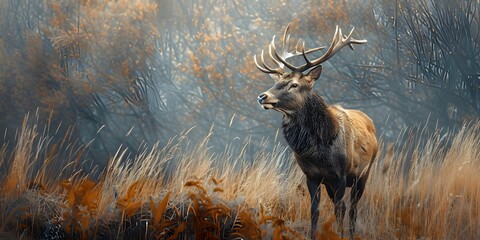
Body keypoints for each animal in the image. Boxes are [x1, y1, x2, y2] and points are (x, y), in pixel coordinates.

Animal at [255, 23, 378, 239]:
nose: (263, 96)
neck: (320, 151)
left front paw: (340, 235)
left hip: (363, 174)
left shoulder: (341, 174)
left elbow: (340, 209)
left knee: (352, 208)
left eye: (294, 84)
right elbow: (315, 211)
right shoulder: (312, 176)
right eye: (276, 82)